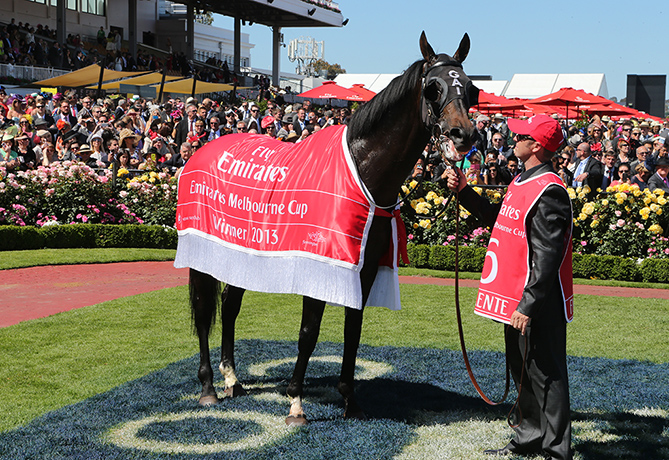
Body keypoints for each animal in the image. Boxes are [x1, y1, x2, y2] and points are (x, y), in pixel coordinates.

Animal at [180, 32, 478, 426]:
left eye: (472, 88)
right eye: (433, 88)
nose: (464, 135)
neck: (362, 174)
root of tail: (200, 151)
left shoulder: (364, 269)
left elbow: (354, 329)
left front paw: (351, 399)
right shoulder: (318, 265)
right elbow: (309, 333)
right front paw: (295, 403)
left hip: (239, 254)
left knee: (229, 307)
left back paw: (233, 379)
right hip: (202, 254)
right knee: (203, 313)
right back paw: (208, 388)